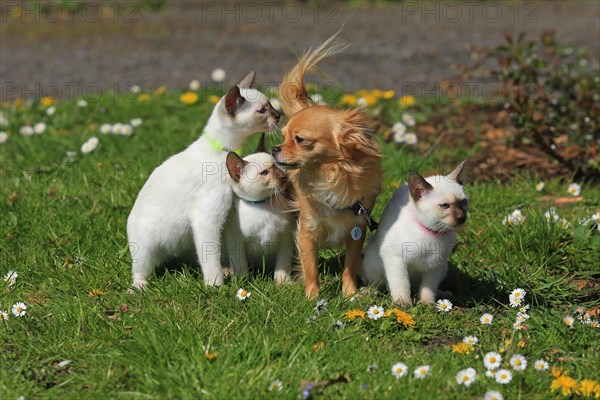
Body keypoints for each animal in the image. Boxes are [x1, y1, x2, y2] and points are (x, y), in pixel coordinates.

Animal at [127, 72, 282, 290]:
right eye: (262, 111)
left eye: (270, 106)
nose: (279, 115)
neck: (221, 150)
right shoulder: (207, 219)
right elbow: (212, 258)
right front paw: (216, 287)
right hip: (147, 249)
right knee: (141, 270)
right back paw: (139, 287)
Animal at [223, 136, 296, 282]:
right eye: (264, 173)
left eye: (278, 167)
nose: (284, 177)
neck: (262, 205)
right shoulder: (236, 241)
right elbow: (240, 265)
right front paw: (241, 281)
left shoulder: (286, 238)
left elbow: (282, 264)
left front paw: (282, 282)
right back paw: (227, 272)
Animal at [360, 161, 468, 304]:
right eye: (445, 206)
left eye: (463, 202)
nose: (462, 217)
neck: (433, 233)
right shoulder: (396, 260)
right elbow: (401, 284)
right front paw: (402, 303)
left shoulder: (435, 264)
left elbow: (428, 288)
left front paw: (426, 304)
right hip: (373, 263)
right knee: (378, 284)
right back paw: (369, 293)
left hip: (443, 268)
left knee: (417, 288)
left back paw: (444, 295)